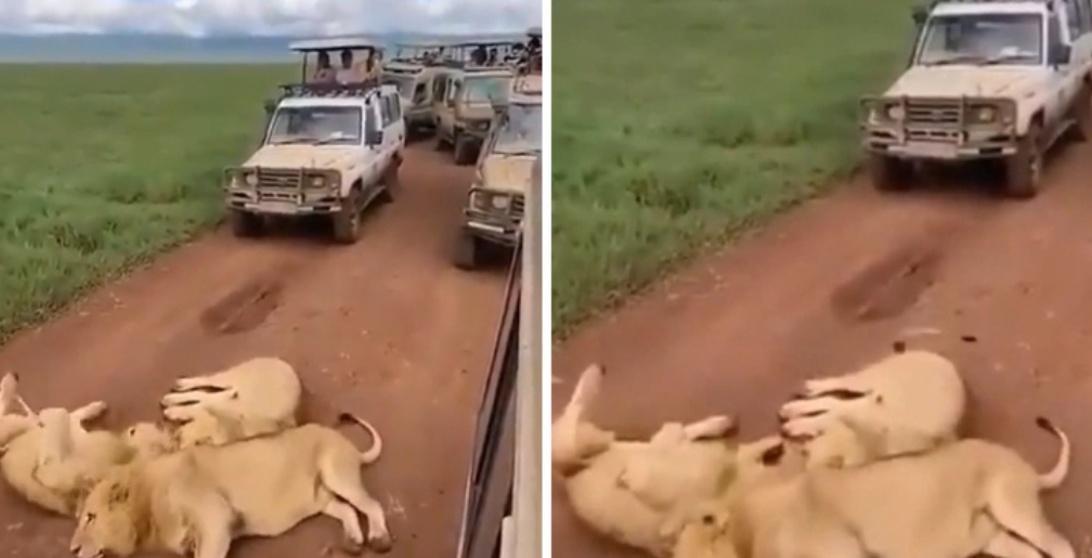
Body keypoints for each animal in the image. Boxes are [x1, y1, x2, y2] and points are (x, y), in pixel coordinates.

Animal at [69, 417, 393, 558]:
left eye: (90, 518)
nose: (72, 550)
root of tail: (348, 445)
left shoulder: (216, 517)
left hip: (336, 473)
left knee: (371, 505)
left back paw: (378, 539)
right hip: (320, 498)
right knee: (347, 509)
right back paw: (353, 542)